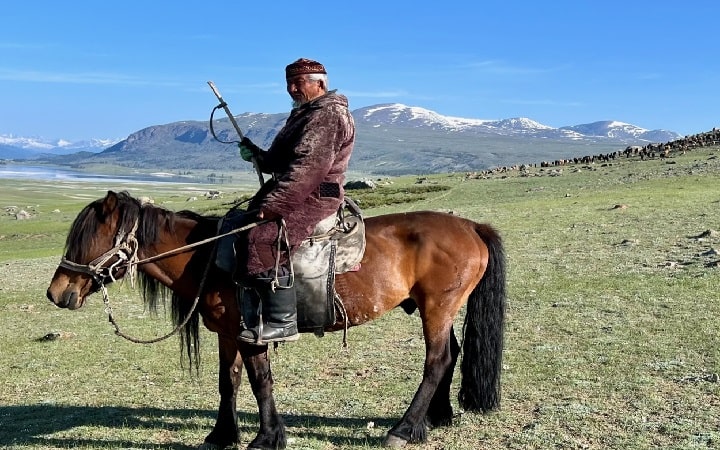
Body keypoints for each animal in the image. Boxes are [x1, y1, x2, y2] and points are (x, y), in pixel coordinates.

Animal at [45, 191, 506, 450]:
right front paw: (221, 435)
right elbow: (228, 381)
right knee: (451, 355)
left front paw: (267, 437)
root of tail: (471, 226)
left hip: (438, 307)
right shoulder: (227, 333)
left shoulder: (252, 333)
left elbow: (259, 381)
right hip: (439, 310)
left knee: (436, 361)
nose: (56, 292)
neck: (210, 256)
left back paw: (404, 428)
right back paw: (436, 418)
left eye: (89, 238)